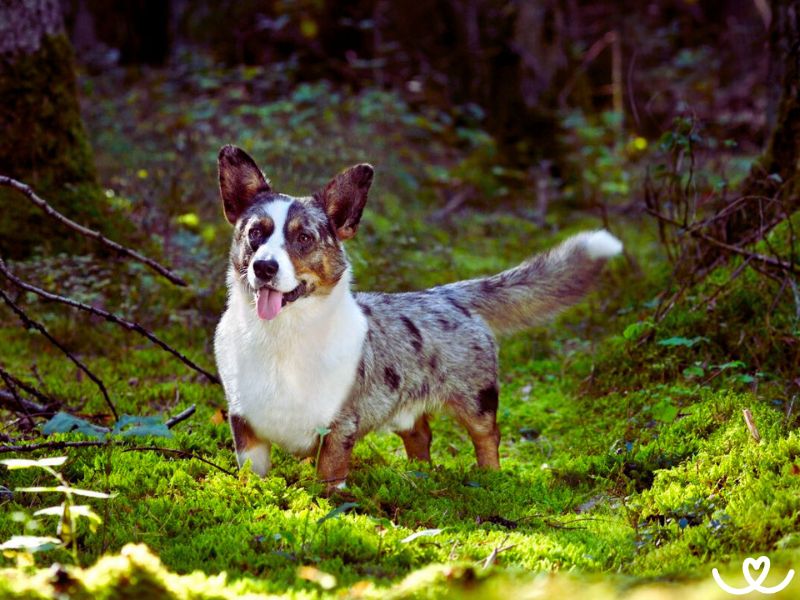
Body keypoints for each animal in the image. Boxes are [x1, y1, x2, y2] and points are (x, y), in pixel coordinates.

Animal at [214, 145, 624, 492]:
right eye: (255, 233)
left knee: (486, 436)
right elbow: (252, 470)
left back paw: (490, 478)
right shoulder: (244, 423)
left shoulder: (339, 424)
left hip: (476, 398)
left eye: (303, 239)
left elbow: (329, 474)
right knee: (420, 434)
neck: (281, 336)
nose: (264, 268)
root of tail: (449, 293)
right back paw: (418, 475)